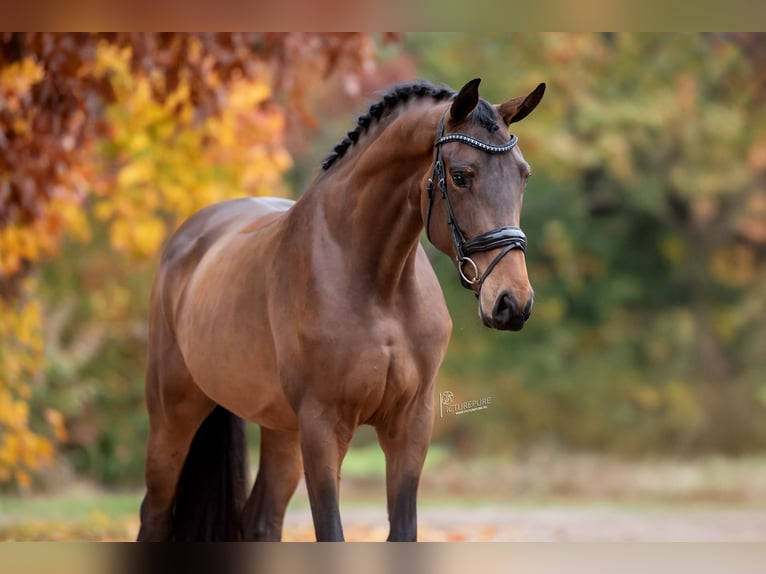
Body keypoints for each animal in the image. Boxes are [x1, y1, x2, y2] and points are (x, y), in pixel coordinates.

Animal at [137, 78, 545, 542]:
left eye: (523, 174)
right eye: (461, 177)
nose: (512, 301)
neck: (378, 289)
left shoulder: (411, 425)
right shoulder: (323, 426)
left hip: (281, 430)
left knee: (261, 520)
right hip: (173, 416)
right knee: (155, 513)